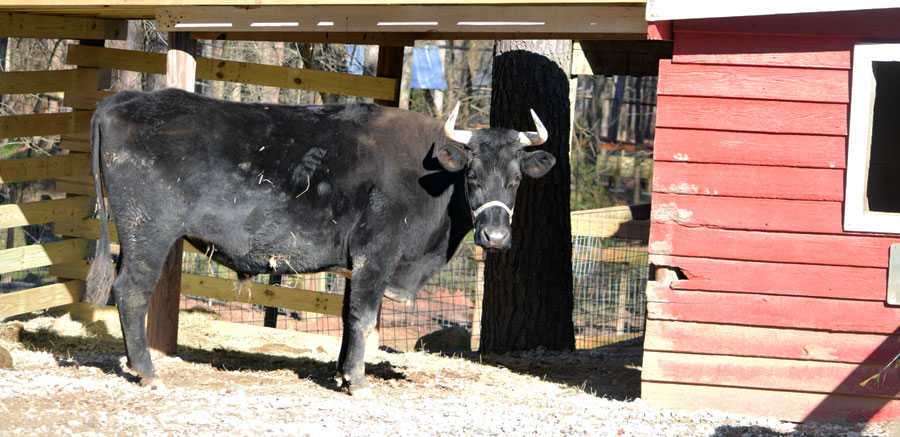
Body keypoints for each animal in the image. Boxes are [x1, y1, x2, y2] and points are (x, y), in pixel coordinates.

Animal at [88, 87, 560, 396]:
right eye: (473, 175)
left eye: (516, 179)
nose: (495, 236)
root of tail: (124, 99)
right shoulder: (376, 256)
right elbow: (364, 319)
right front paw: (358, 382)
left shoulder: (357, 263)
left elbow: (350, 319)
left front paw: (341, 372)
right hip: (148, 230)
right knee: (131, 292)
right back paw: (148, 371)